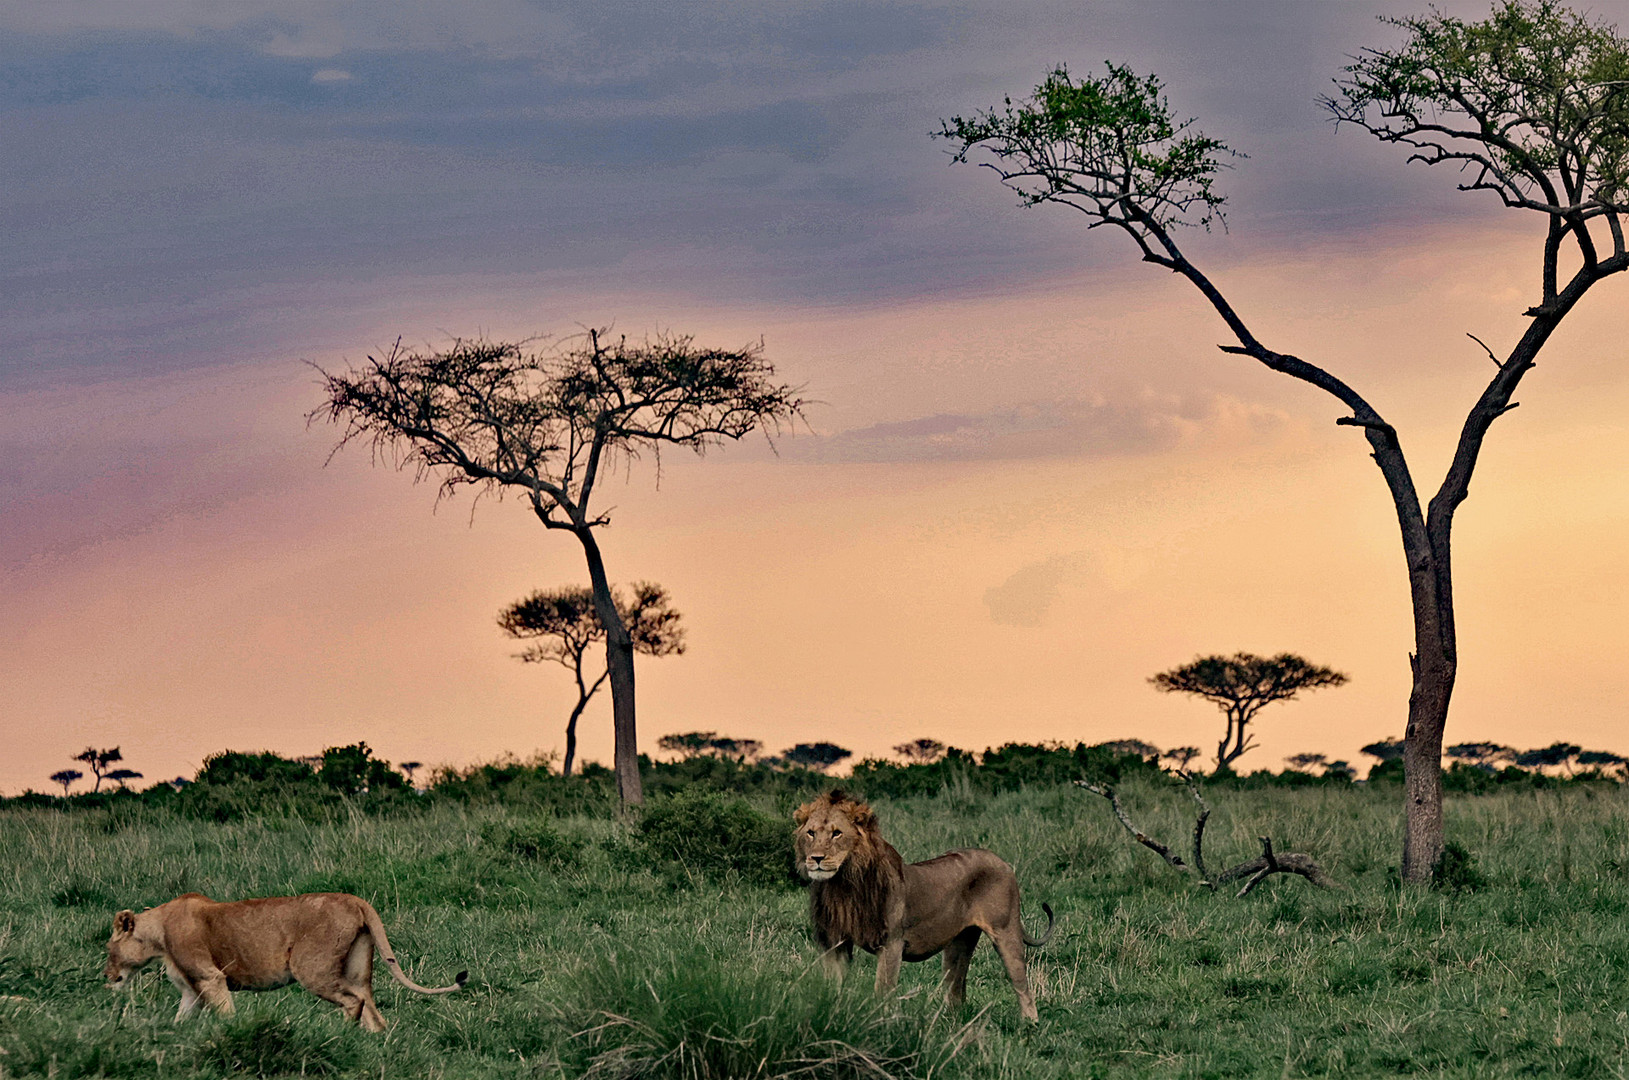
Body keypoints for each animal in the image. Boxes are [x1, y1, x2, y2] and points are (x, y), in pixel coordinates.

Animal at [104, 892, 465, 1036]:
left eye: (108, 948)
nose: (107, 976)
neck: (158, 937)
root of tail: (355, 899)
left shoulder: (210, 978)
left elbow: (225, 1013)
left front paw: (232, 1031)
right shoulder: (191, 991)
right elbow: (181, 1018)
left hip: (312, 969)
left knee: (353, 1002)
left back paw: (341, 1035)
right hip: (357, 968)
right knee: (373, 1011)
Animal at [791, 791, 1055, 1016]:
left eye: (837, 833)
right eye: (811, 833)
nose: (816, 858)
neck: (842, 885)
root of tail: (1002, 862)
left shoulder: (892, 942)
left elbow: (883, 991)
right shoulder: (834, 941)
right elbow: (833, 986)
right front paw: (831, 1013)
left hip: (1005, 930)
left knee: (1021, 984)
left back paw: (1029, 1024)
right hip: (959, 943)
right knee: (956, 988)